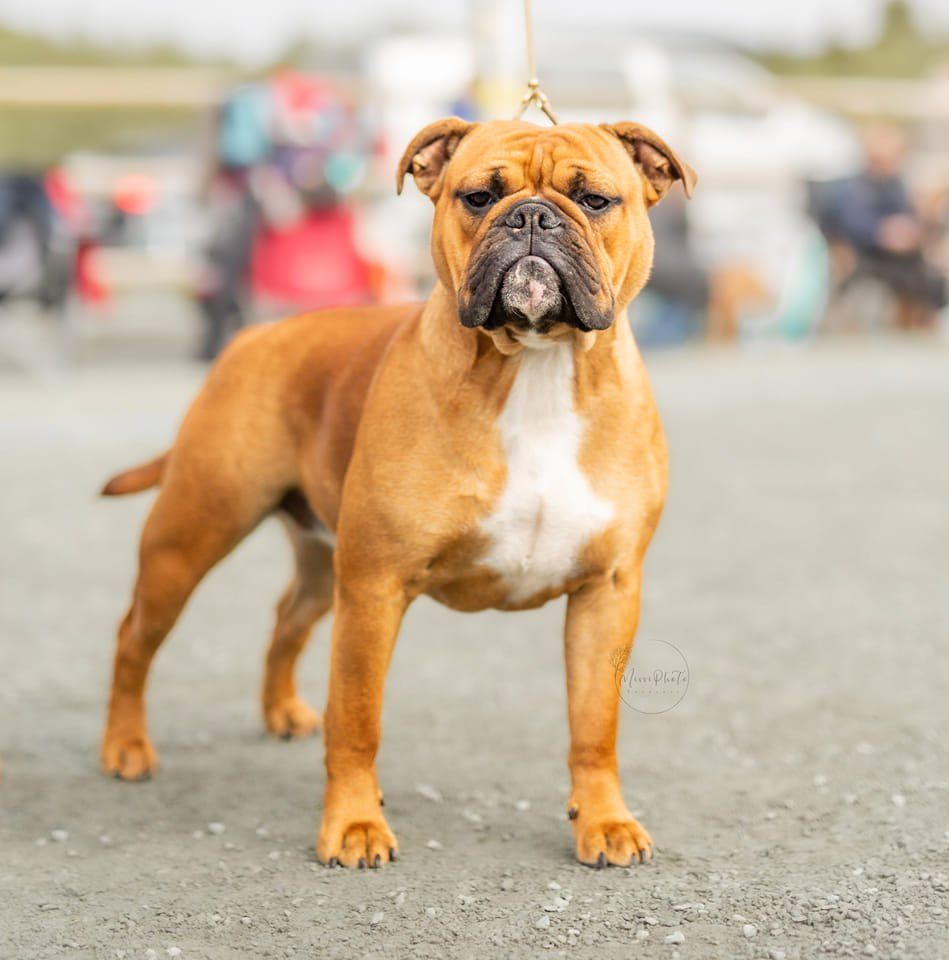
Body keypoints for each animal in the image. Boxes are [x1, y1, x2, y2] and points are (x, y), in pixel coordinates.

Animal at [102, 116, 696, 868]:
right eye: (478, 197)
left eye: (594, 200)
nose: (531, 217)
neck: (533, 365)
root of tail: (253, 336)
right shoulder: (375, 587)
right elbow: (357, 718)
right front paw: (355, 825)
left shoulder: (606, 591)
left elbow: (594, 724)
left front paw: (604, 820)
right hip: (191, 536)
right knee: (135, 637)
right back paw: (125, 747)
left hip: (319, 562)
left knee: (286, 617)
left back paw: (279, 712)